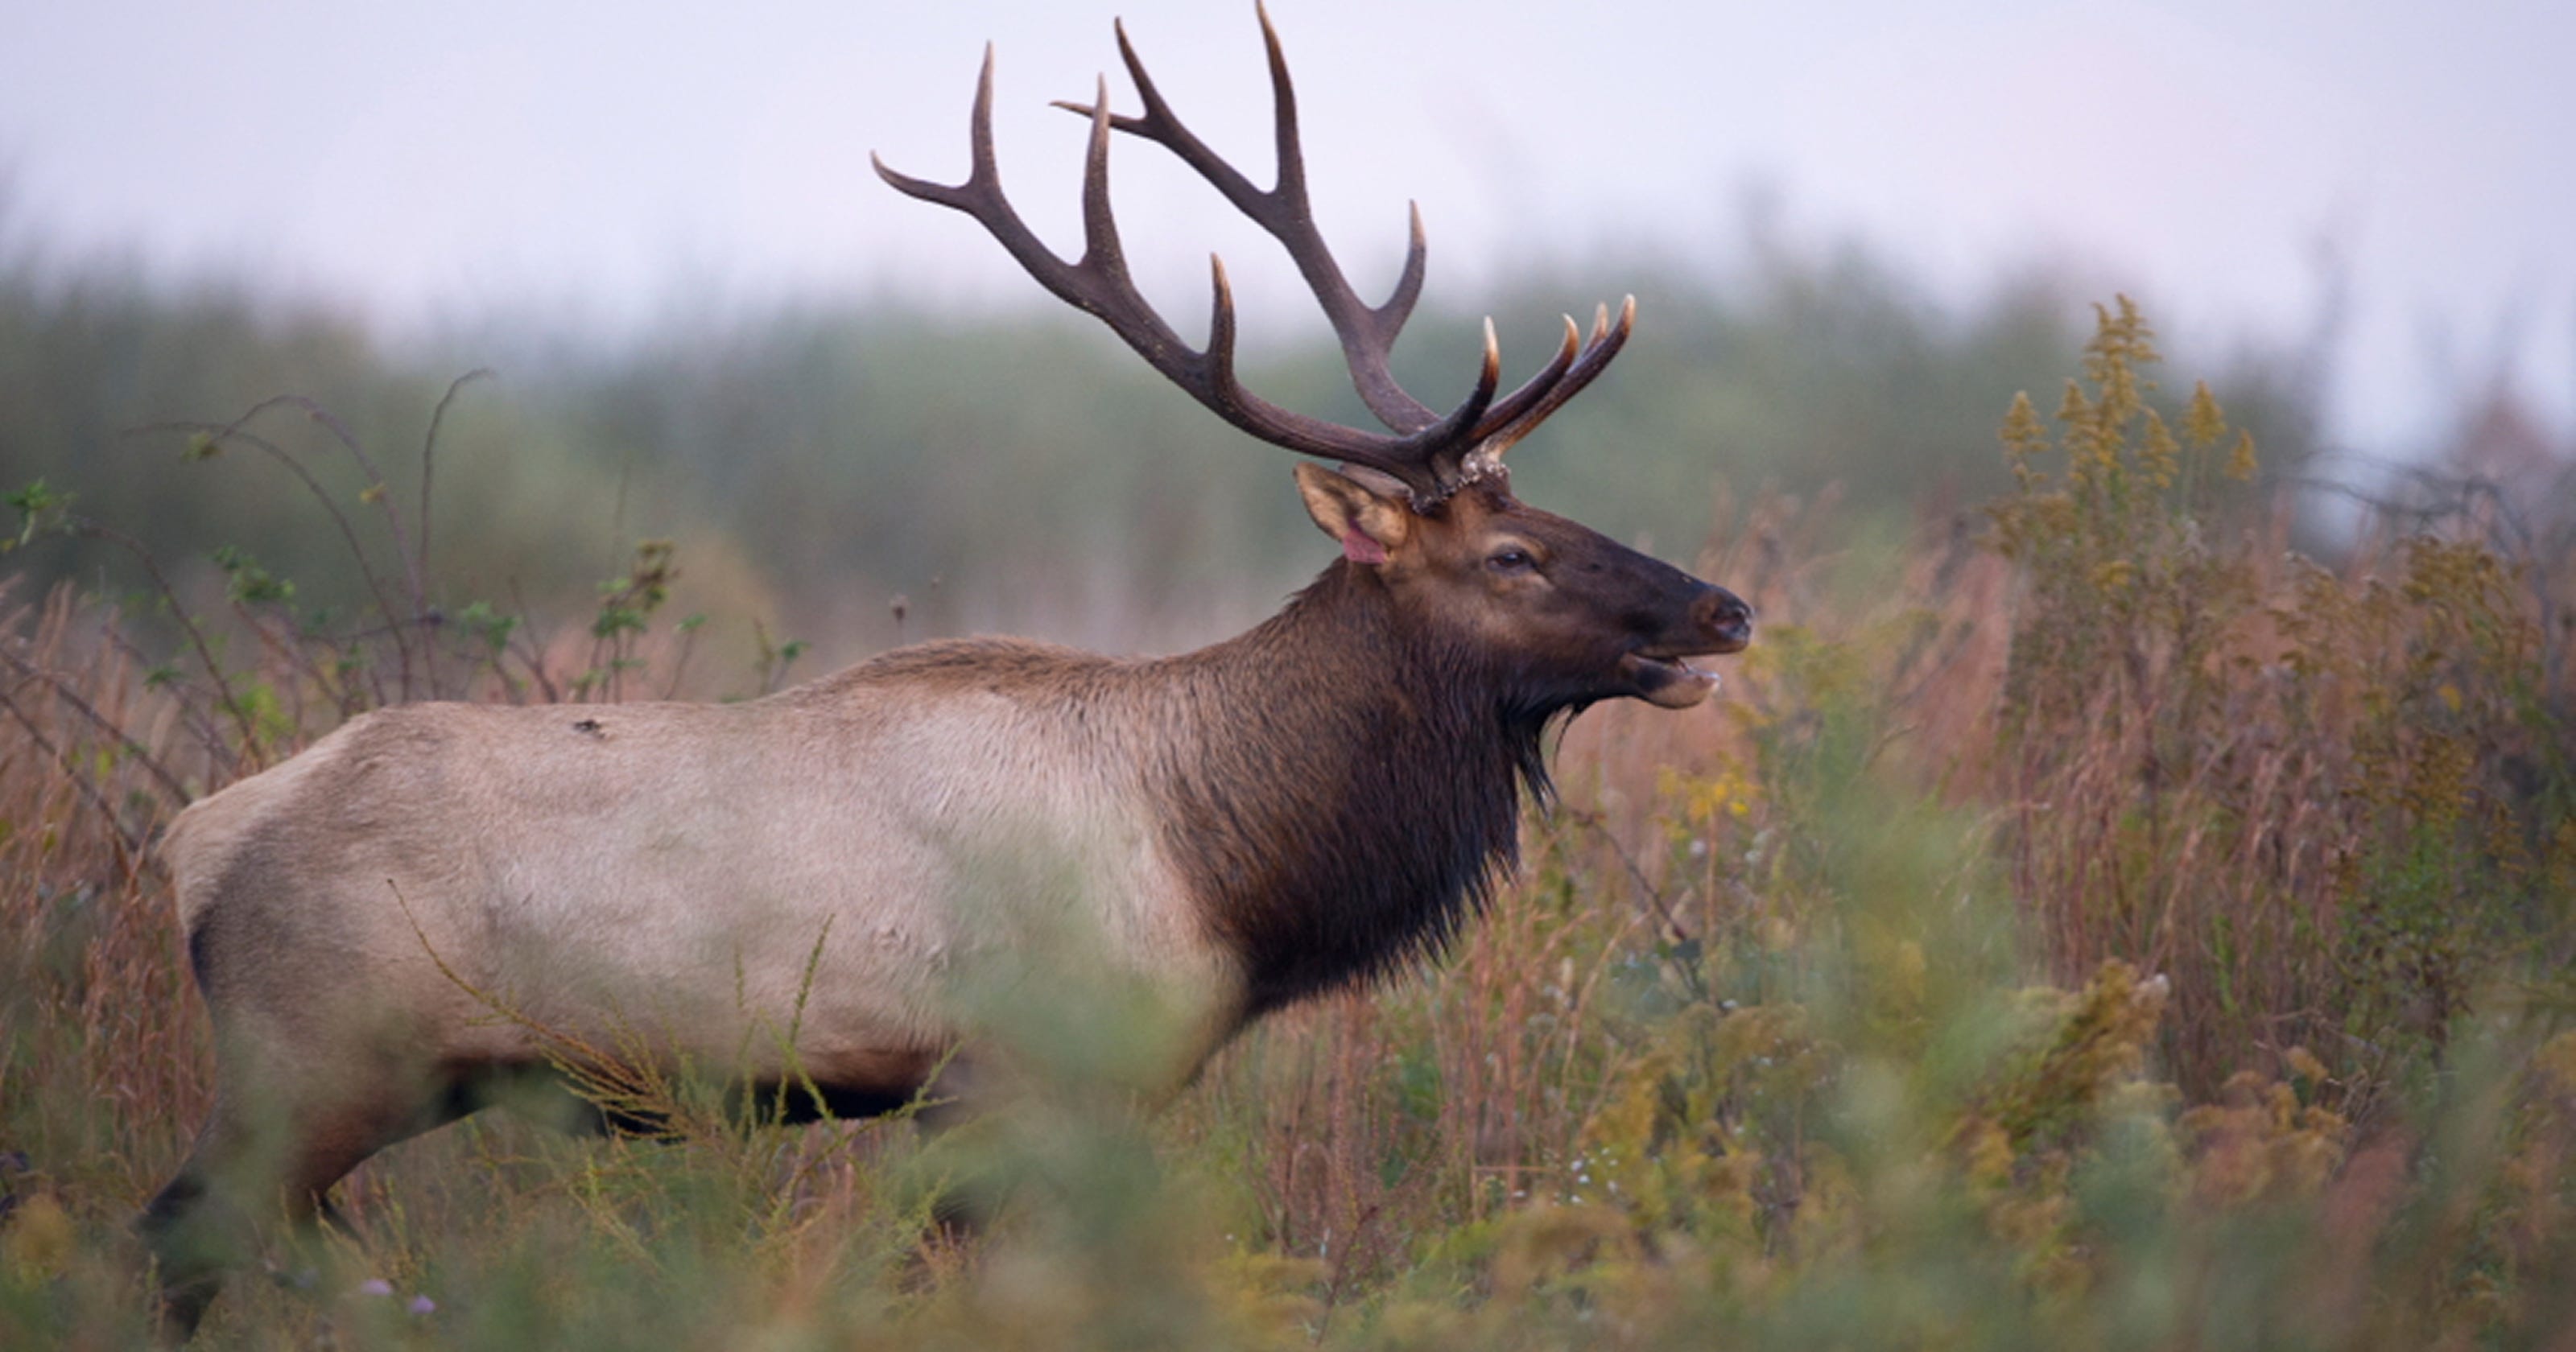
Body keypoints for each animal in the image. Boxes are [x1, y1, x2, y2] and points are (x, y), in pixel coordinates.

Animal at [138, 6, 1752, 1337]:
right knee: (185, 1230)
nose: (1722, 610)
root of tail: (194, 845)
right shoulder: (1002, 1077)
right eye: (1515, 556)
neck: (1227, 870)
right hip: (316, 1063)